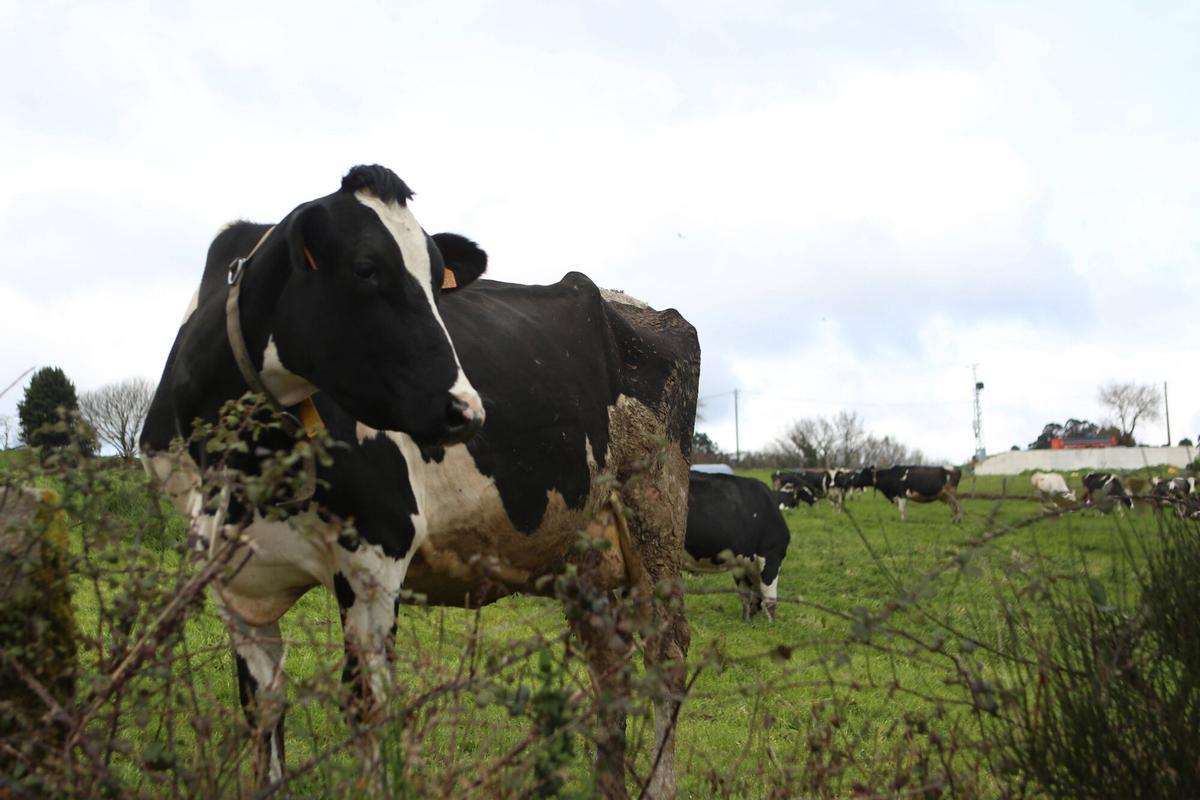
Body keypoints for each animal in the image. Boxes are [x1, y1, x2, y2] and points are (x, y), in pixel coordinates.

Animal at [140, 165, 700, 799]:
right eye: (365, 267)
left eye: (437, 280)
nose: (467, 408)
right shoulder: (231, 580)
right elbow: (262, 711)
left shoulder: (376, 549)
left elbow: (368, 707)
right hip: (583, 550)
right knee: (608, 661)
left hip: (656, 512)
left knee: (666, 651)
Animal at [684, 473, 790, 622]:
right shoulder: (771, 555)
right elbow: (770, 599)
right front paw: (772, 624)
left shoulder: (742, 564)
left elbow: (746, 596)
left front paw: (746, 621)